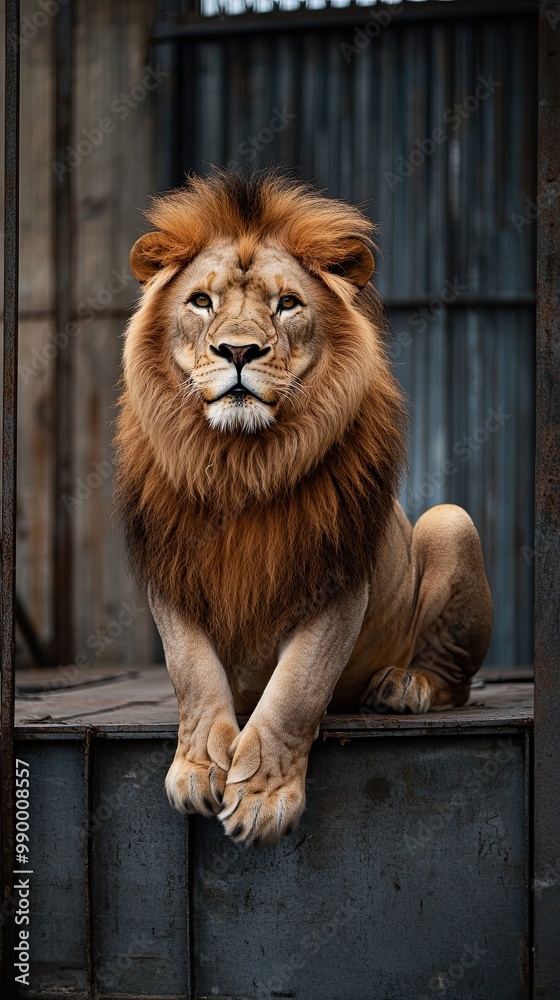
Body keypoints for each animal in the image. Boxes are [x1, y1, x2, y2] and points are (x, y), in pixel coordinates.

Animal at [115, 170, 492, 847]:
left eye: (287, 304)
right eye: (201, 302)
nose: (239, 352)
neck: (240, 463)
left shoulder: (335, 575)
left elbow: (297, 690)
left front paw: (263, 801)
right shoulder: (170, 564)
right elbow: (191, 671)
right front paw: (197, 767)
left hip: (452, 521)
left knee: (454, 680)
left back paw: (401, 686)